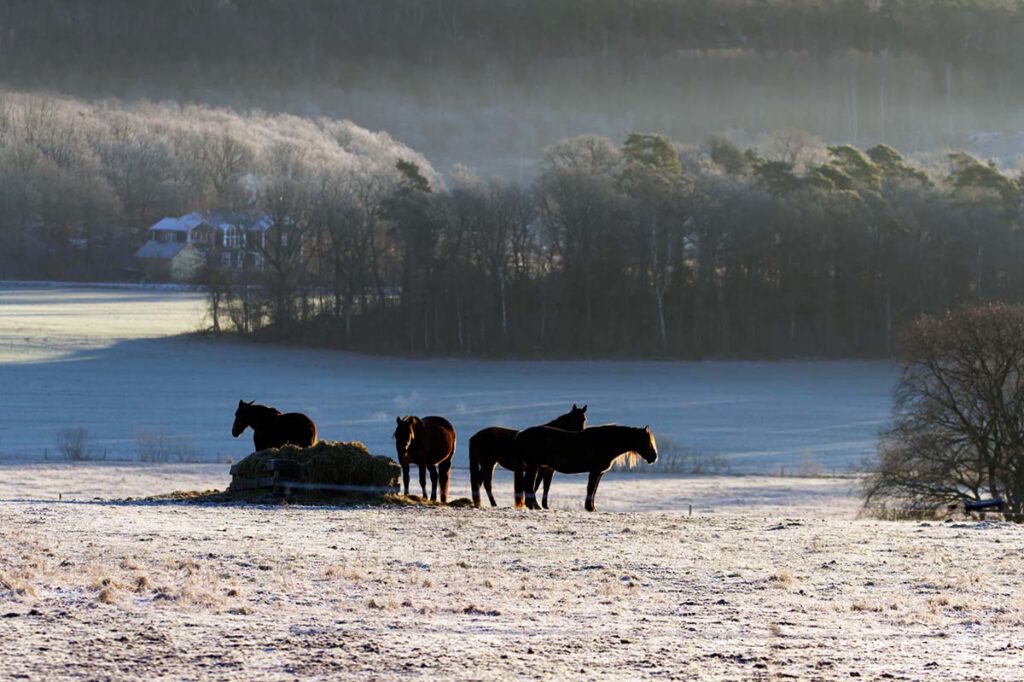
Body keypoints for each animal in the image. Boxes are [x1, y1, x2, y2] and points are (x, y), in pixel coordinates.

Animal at [516, 421, 659, 512]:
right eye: (646, 441)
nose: (654, 457)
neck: (607, 442)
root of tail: (521, 434)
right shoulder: (595, 471)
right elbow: (590, 489)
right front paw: (590, 508)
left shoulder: (599, 472)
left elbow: (593, 490)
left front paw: (592, 508)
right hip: (533, 466)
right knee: (528, 485)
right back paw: (535, 506)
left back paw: (532, 506)